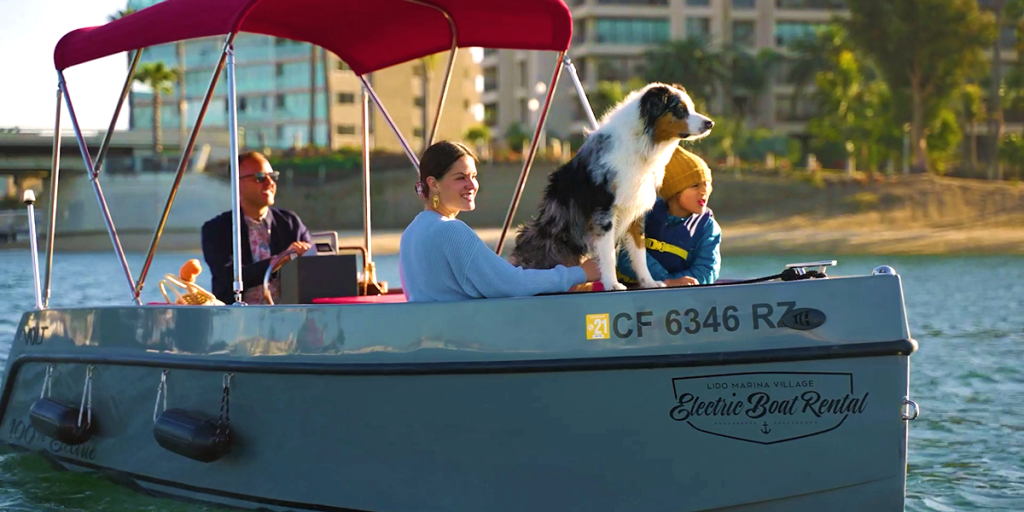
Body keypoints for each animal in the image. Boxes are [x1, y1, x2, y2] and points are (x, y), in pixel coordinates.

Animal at [509, 82, 712, 290]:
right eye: (680, 110)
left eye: (691, 107)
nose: (710, 123)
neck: (641, 144)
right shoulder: (604, 211)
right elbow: (608, 254)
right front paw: (612, 283)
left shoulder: (636, 209)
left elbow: (639, 252)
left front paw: (649, 282)